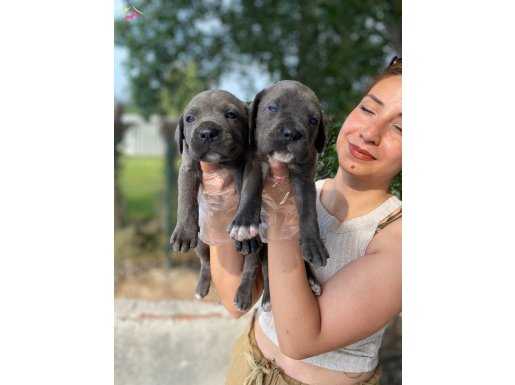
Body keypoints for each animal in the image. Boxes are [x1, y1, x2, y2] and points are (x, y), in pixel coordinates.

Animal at [171, 90, 262, 308]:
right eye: (190, 118)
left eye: (231, 115)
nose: (207, 132)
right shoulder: (187, 167)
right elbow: (185, 199)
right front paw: (183, 232)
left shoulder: (251, 168)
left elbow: (248, 197)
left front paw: (244, 224)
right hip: (202, 242)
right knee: (206, 263)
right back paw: (201, 288)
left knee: (250, 266)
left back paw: (243, 293)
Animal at [230, 79, 330, 272]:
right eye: (272, 108)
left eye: (313, 120)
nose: (292, 133)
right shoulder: (255, 162)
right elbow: (250, 190)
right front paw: (244, 223)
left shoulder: (304, 175)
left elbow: (308, 209)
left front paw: (313, 243)